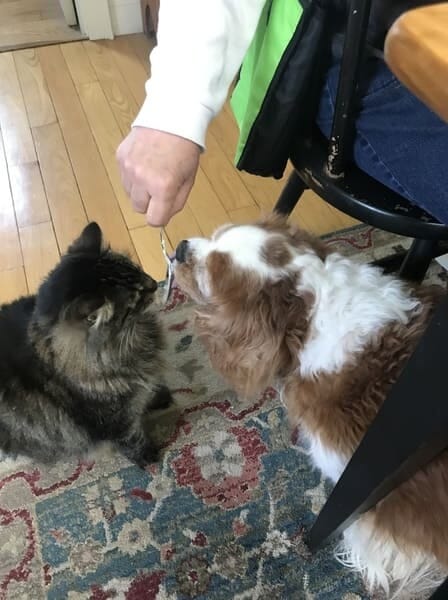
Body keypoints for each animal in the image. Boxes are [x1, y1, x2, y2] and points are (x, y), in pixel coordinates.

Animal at [0, 223, 173, 466]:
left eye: (137, 269)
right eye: (134, 297)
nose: (154, 284)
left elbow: (148, 391)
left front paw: (160, 397)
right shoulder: (113, 420)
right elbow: (132, 437)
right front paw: (149, 458)